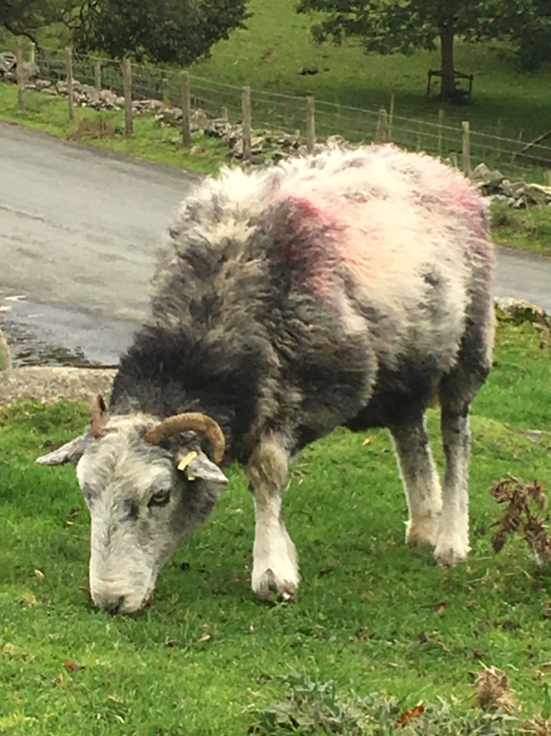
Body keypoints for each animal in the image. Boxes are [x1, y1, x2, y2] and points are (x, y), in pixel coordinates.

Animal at [37, 144, 496, 616]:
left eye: (160, 496)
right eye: (87, 493)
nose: (110, 601)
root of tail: (432, 164)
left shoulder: (312, 392)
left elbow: (266, 471)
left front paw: (274, 573)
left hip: (470, 344)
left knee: (455, 435)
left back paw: (450, 540)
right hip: (404, 371)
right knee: (410, 435)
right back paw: (424, 524)